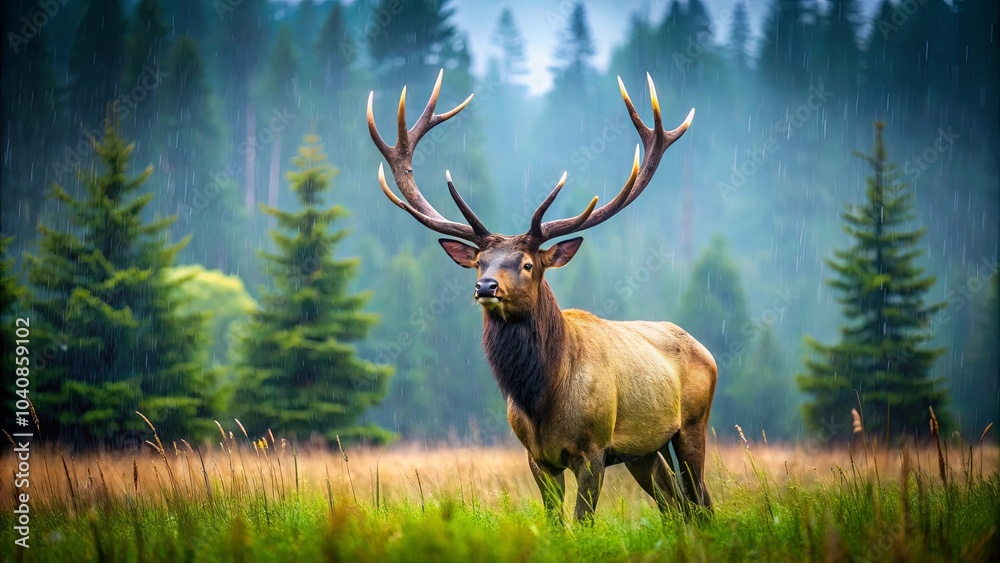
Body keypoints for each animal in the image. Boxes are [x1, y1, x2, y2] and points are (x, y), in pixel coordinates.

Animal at [367, 70, 717, 522]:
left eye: (528, 265)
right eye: (480, 262)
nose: (485, 287)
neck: (542, 397)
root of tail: (704, 349)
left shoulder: (593, 450)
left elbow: (582, 521)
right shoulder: (536, 457)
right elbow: (555, 523)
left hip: (692, 425)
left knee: (701, 499)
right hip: (645, 449)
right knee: (676, 504)